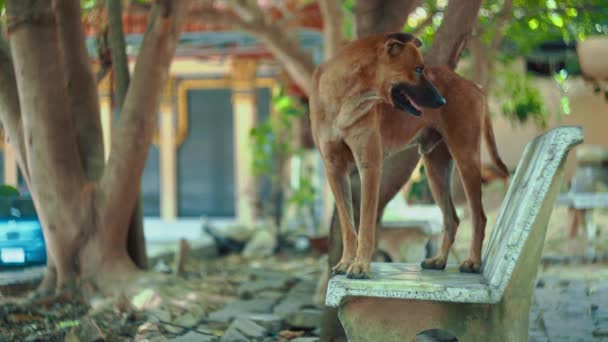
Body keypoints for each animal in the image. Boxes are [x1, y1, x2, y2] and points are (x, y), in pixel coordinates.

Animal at [312, 32, 506, 278]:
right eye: (418, 69)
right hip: (435, 171)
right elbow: (348, 226)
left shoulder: (369, 166)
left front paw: (361, 265)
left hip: (466, 160)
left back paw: (472, 262)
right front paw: (346, 262)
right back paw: (439, 260)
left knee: (479, 217)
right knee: (451, 218)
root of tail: (475, 86)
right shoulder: (334, 169)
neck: (344, 97)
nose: (442, 101)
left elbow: (365, 225)